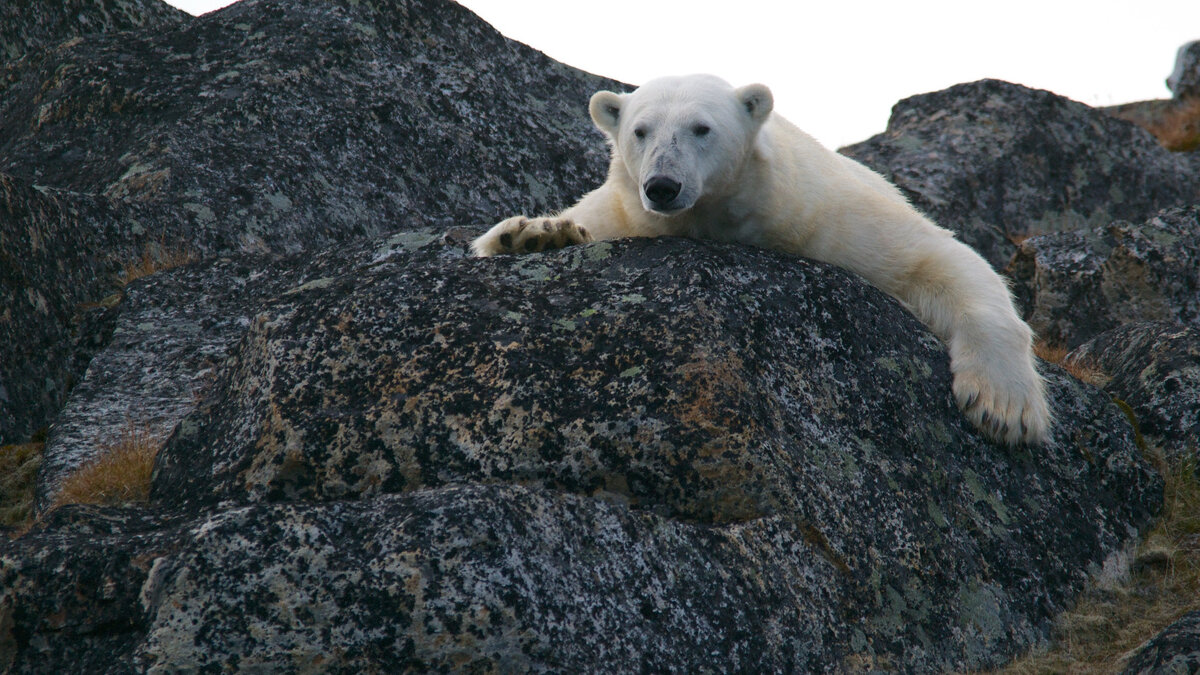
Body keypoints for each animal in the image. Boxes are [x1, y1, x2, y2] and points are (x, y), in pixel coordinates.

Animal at [470, 73, 1051, 444]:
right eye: (640, 130)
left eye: (702, 128)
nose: (662, 185)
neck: (721, 216)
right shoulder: (624, 211)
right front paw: (533, 235)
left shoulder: (825, 215)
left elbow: (937, 258)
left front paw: (1004, 408)